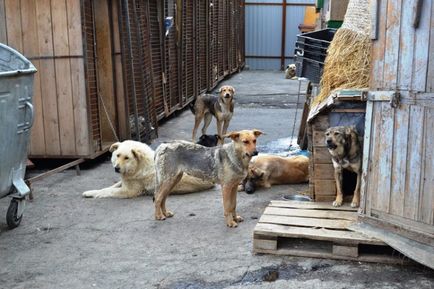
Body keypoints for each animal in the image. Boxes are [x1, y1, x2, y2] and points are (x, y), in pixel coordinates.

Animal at [81, 140, 214, 198]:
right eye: (117, 155)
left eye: (126, 158)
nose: (116, 168)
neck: (138, 166)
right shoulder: (125, 181)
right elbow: (109, 187)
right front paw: (90, 192)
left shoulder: (129, 191)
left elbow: (108, 191)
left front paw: (94, 194)